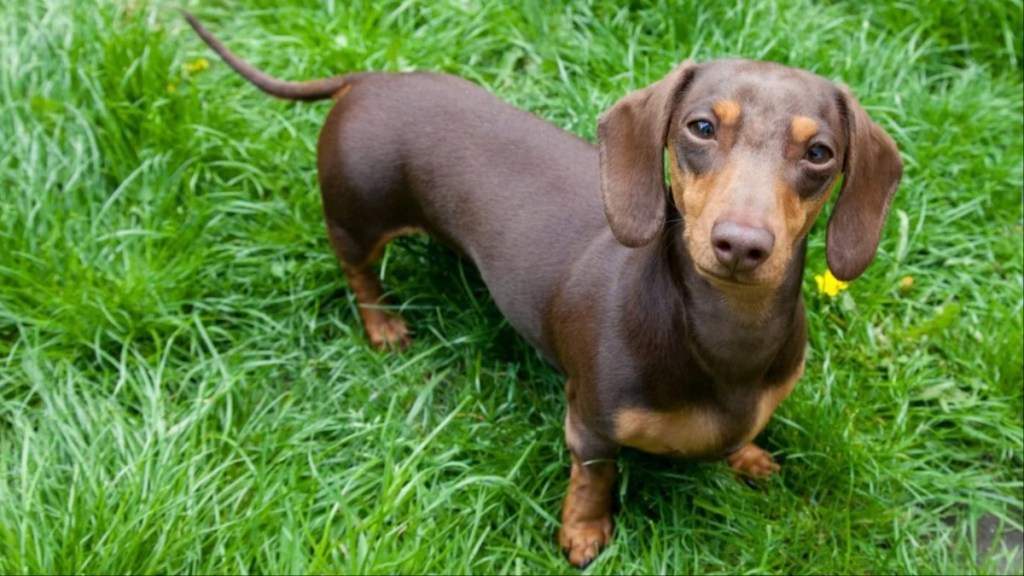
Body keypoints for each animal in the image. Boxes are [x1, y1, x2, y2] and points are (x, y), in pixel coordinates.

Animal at [186, 12, 905, 565]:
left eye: (820, 154)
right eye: (701, 127)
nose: (742, 244)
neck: (723, 337)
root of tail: (370, 78)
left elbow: (740, 436)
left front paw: (749, 458)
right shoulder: (588, 420)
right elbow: (596, 475)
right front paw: (583, 532)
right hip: (356, 216)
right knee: (358, 270)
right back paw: (383, 324)